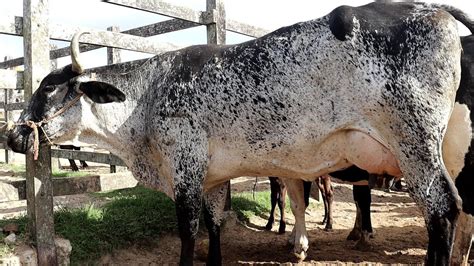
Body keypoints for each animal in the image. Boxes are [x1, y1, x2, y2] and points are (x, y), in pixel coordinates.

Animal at [6, 2, 466, 266]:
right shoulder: (213, 179)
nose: (12, 137)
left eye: (48, 89)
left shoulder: (186, 171)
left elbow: (189, 232)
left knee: (442, 210)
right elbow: (214, 227)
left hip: (415, 146)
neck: (148, 94)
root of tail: (433, 10)